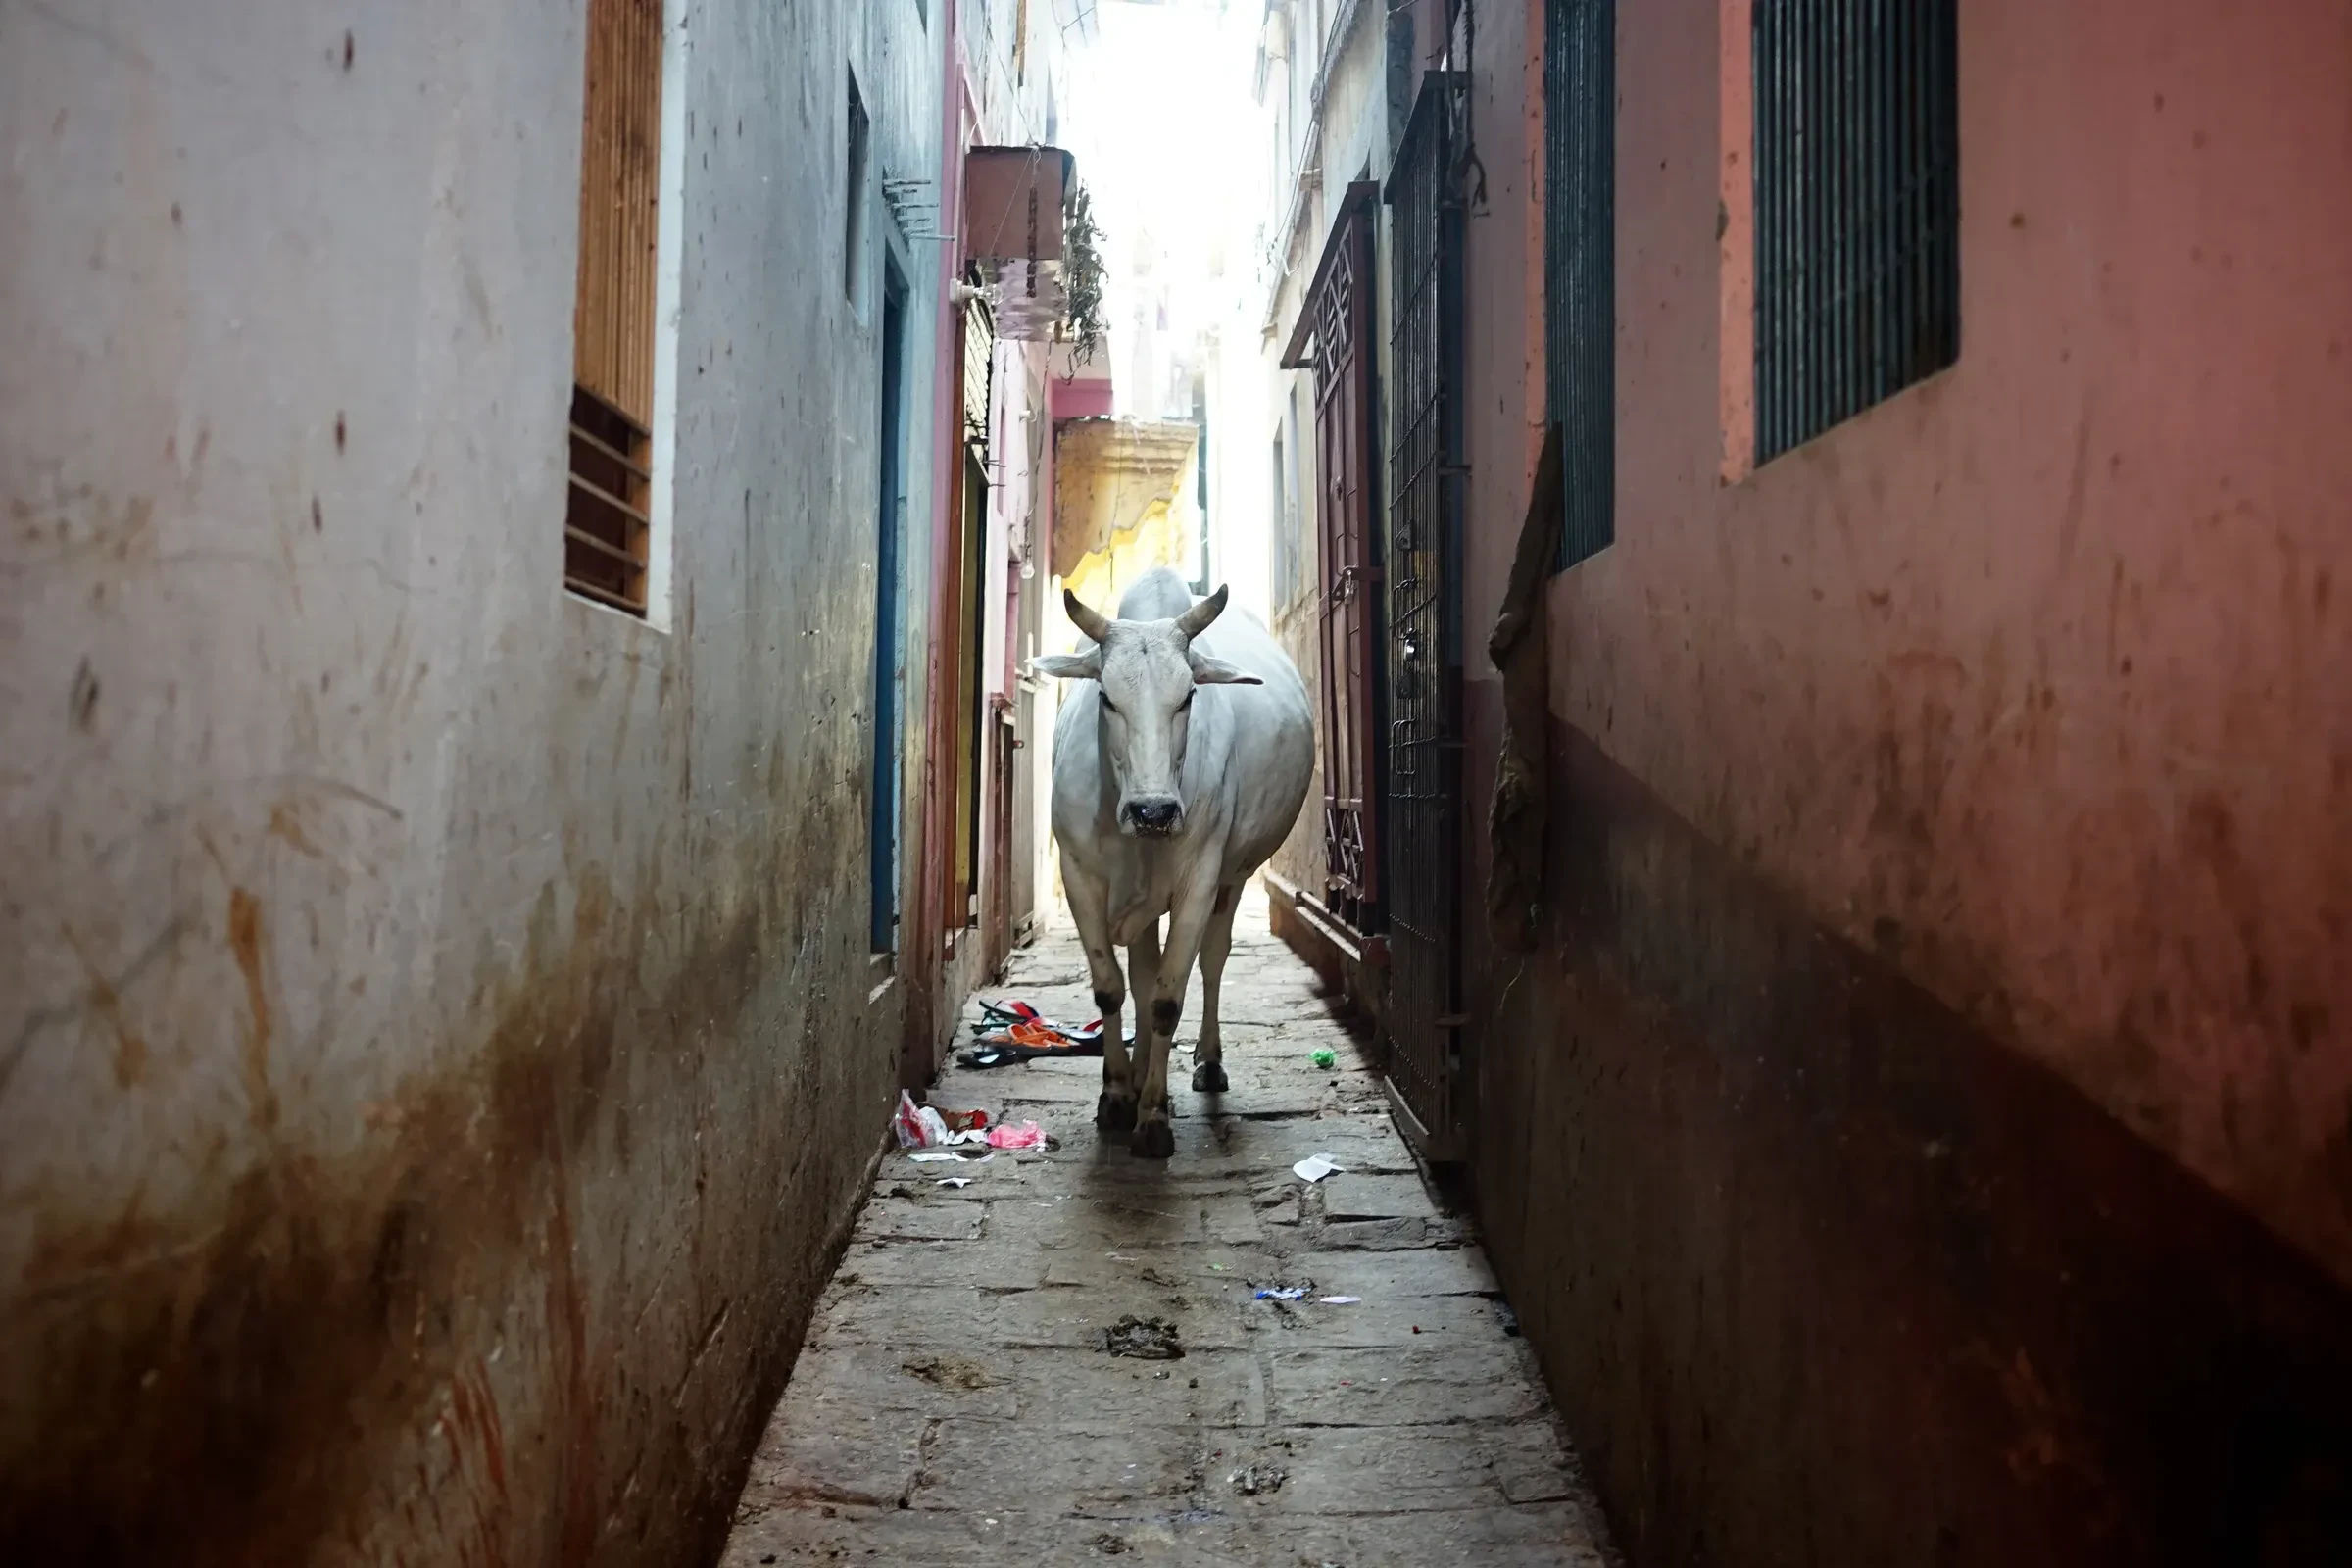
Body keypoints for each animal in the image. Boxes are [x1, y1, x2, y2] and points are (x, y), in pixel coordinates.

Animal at [1032, 566, 1314, 1158]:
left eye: (1187, 696)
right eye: (1107, 696)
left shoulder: (1200, 881)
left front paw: (1154, 1117)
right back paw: (1139, 1073)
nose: (1154, 811)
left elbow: (1167, 998)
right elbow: (1113, 987)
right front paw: (1118, 1095)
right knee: (1141, 975)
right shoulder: (1079, 877)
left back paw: (1207, 1062)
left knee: (1211, 962)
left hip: (1233, 879)